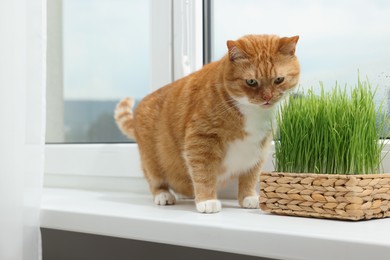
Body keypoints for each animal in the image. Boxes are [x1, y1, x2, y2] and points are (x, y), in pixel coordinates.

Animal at [114, 34, 300, 213]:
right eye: (251, 82)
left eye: (279, 79)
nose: (267, 98)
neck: (253, 112)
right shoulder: (201, 140)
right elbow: (204, 173)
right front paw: (206, 201)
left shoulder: (259, 149)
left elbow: (250, 176)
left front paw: (248, 197)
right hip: (151, 161)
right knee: (155, 179)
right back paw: (164, 195)